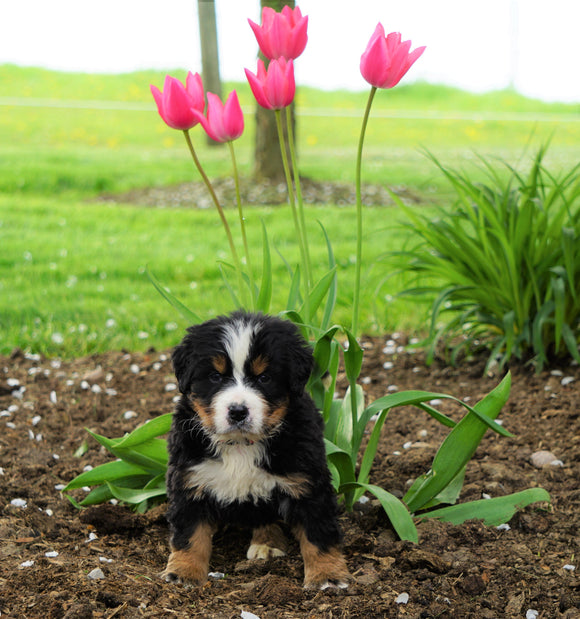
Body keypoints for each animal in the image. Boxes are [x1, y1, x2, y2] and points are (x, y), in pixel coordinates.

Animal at [161, 312, 348, 588]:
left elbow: (319, 533)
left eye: (264, 378)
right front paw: (183, 572)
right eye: (215, 377)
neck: (241, 445)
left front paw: (328, 576)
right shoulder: (189, 478)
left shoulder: (307, 481)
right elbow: (189, 534)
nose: (238, 411)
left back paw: (267, 544)